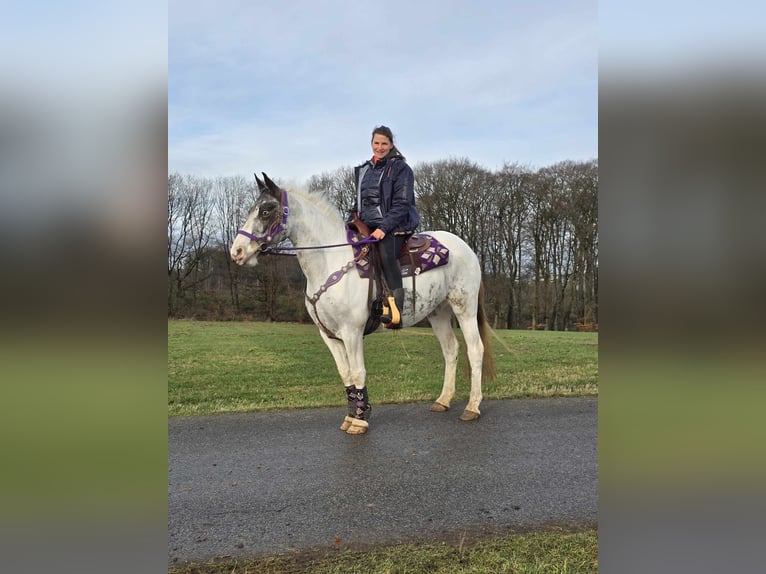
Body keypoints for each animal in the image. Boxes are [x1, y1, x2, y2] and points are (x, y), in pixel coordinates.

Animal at [230, 174, 498, 436]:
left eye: (266, 210)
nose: (237, 251)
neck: (331, 261)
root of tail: (467, 249)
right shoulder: (329, 335)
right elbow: (346, 373)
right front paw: (353, 415)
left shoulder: (352, 332)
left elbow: (358, 371)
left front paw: (360, 420)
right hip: (438, 312)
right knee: (451, 349)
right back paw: (443, 400)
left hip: (464, 307)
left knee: (475, 350)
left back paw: (472, 406)